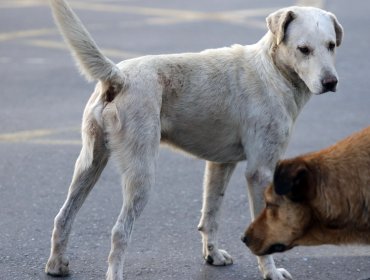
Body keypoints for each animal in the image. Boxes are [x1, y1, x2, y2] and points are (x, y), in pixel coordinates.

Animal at [46, 1, 344, 278]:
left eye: (331, 46)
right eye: (303, 49)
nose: (331, 83)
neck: (271, 70)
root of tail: (119, 77)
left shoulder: (220, 165)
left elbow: (210, 216)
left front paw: (213, 256)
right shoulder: (260, 172)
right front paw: (270, 271)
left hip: (89, 165)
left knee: (63, 217)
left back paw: (56, 265)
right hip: (141, 177)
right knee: (119, 231)